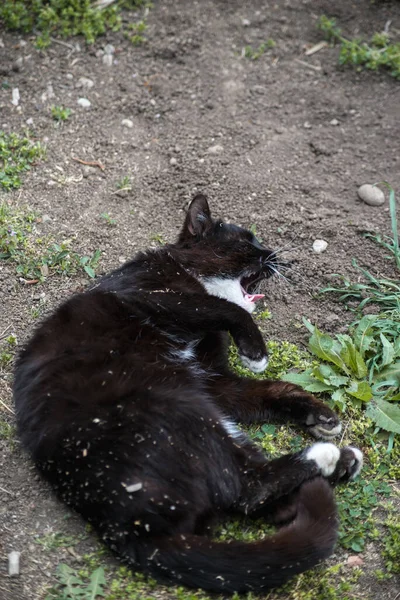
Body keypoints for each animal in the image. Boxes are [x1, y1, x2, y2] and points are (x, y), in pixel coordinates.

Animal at [13, 195, 362, 592]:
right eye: (248, 241)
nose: (275, 254)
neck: (188, 271)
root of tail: (134, 530)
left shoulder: (213, 380)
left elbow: (268, 389)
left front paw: (319, 414)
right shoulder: (162, 301)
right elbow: (225, 309)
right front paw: (256, 352)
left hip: (204, 414)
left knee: (249, 493)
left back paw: (339, 460)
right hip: (178, 405)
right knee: (247, 489)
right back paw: (327, 457)